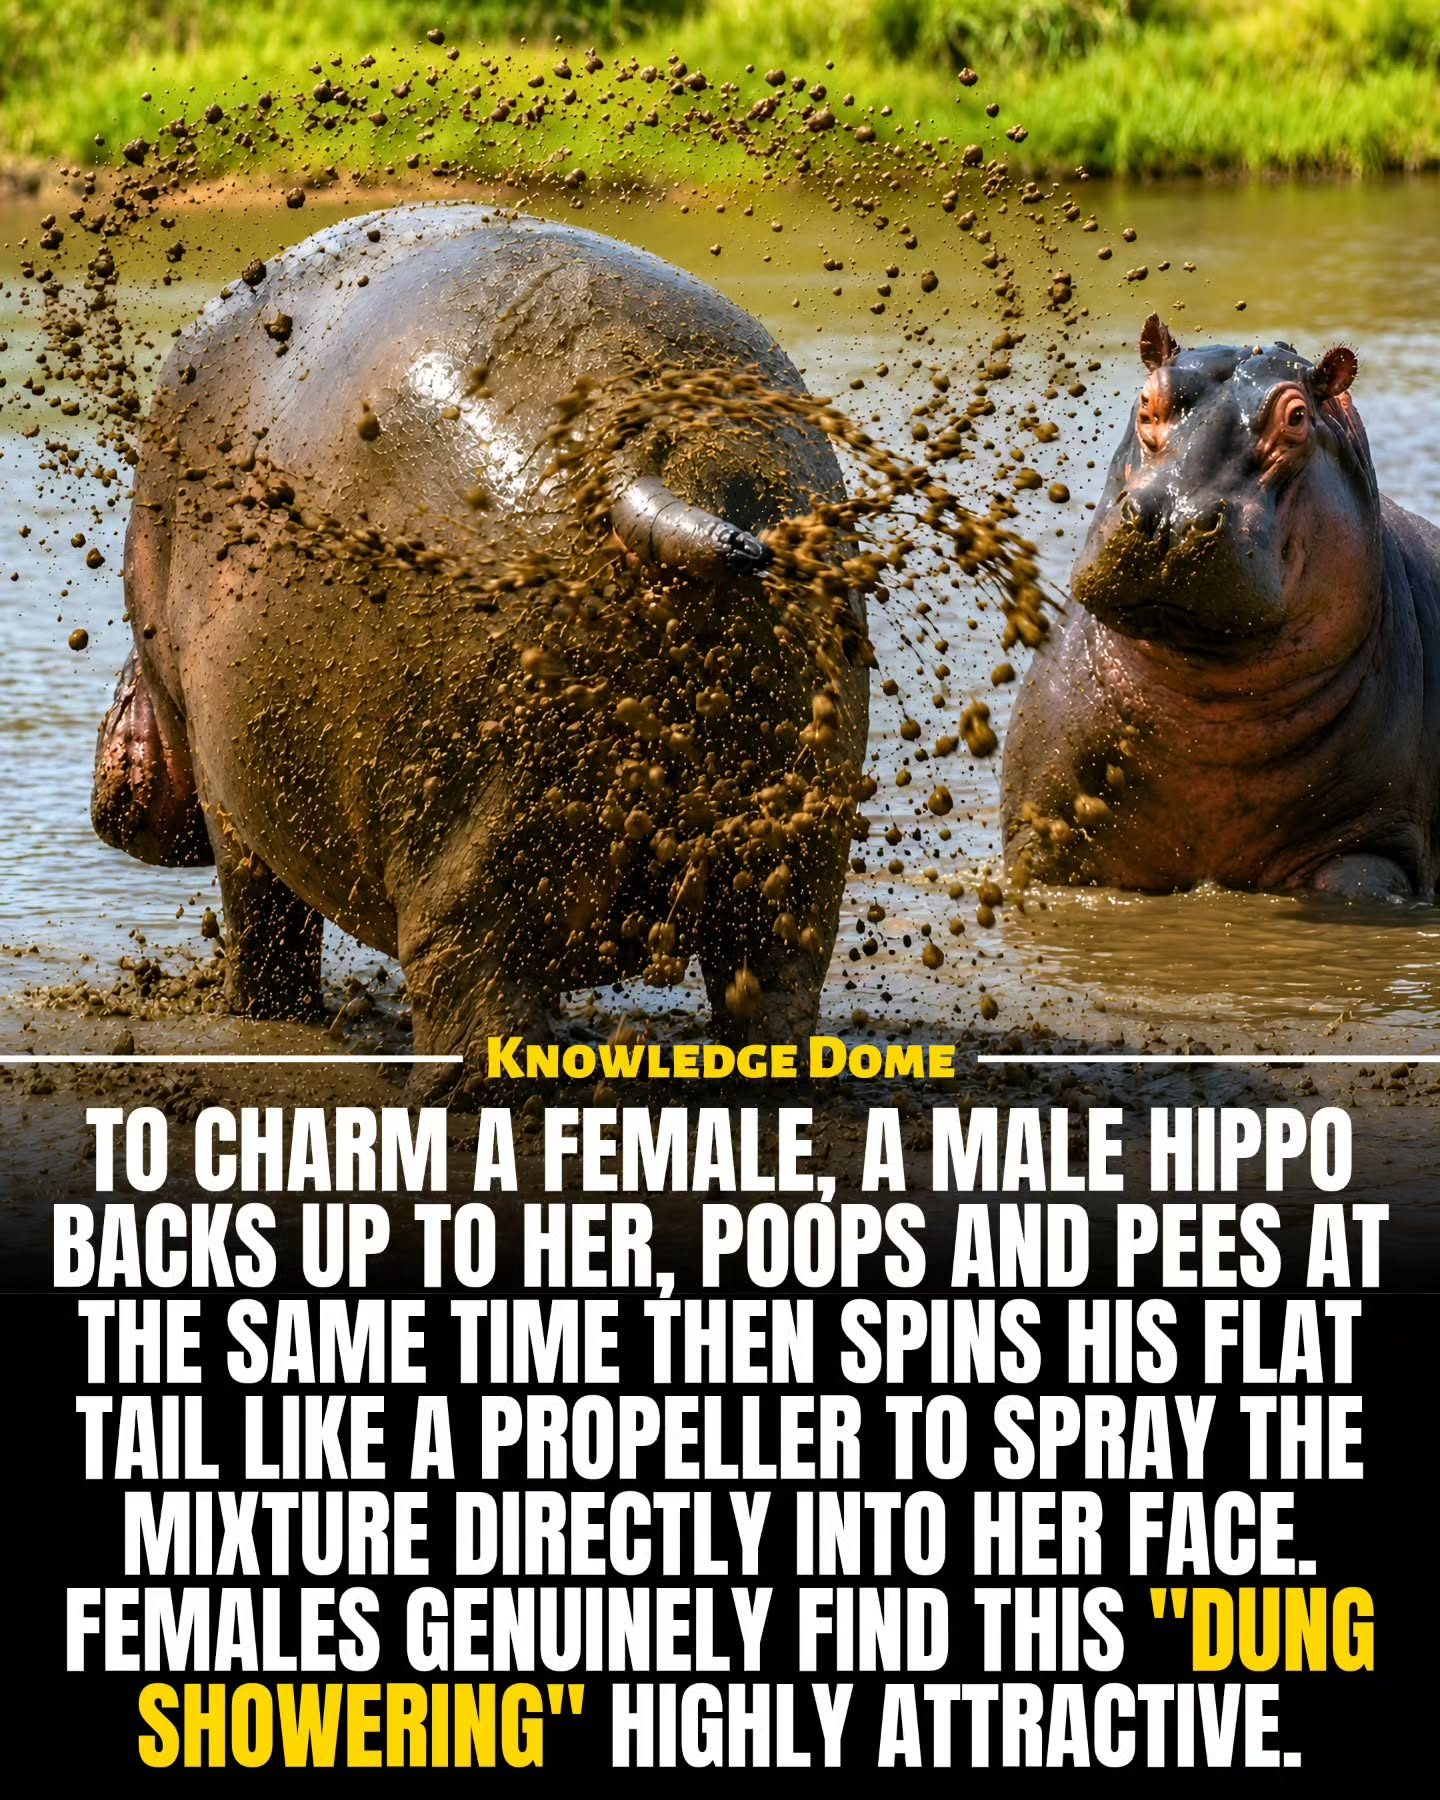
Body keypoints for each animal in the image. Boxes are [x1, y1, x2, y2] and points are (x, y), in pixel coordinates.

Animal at [92, 204, 870, 1070]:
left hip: (468, 824)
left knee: (467, 987)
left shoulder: (230, 796)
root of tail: (639, 465)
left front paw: (259, 1020)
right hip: (794, 825)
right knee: (774, 976)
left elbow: (265, 927)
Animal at [1003, 315, 1440, 900]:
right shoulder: (1043, 834)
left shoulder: (1377, 844)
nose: (1172, 517)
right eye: (1147, 398)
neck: (1205, 718)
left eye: (1297, 417)